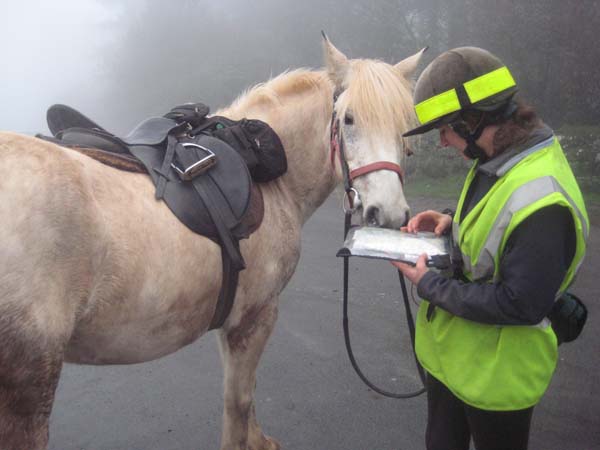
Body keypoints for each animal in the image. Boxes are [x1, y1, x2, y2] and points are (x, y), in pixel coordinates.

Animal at [0, 37, 424, 448]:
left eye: (404, 126)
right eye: (349, 119)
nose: (388, 212)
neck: (267, 170)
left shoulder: (232, 320)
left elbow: (246, 393)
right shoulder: (255, 317)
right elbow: (238, 402)